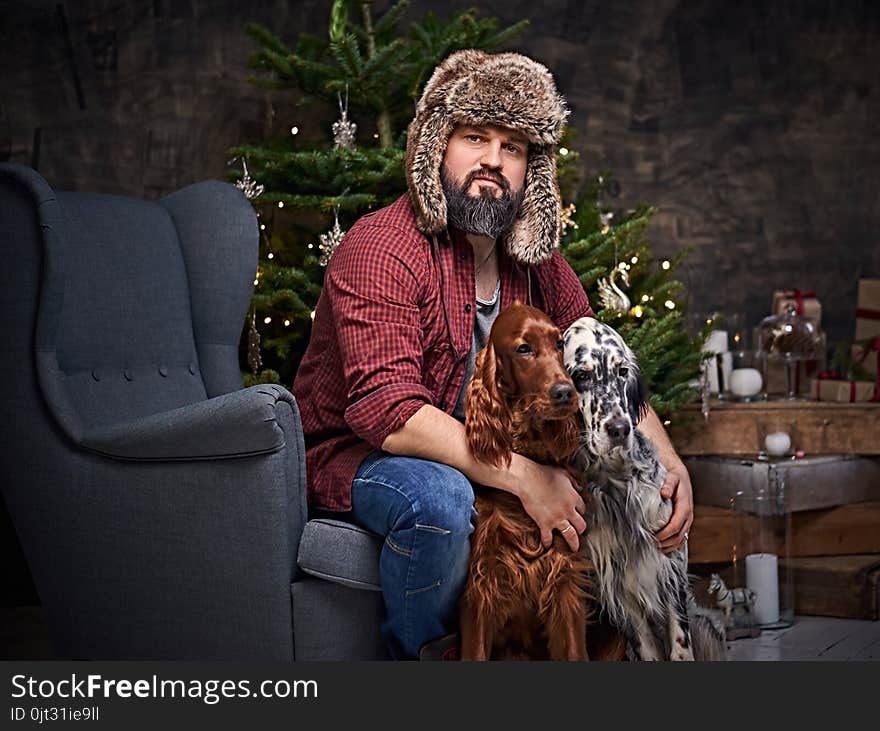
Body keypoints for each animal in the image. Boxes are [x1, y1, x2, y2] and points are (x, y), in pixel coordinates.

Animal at [564, 318, 696, 660]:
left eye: (622, 371)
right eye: (581, 376)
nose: (620, 429)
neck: (614, 480)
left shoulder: (669, 563)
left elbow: (680, 643)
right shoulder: (616, 579)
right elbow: (645, 643)